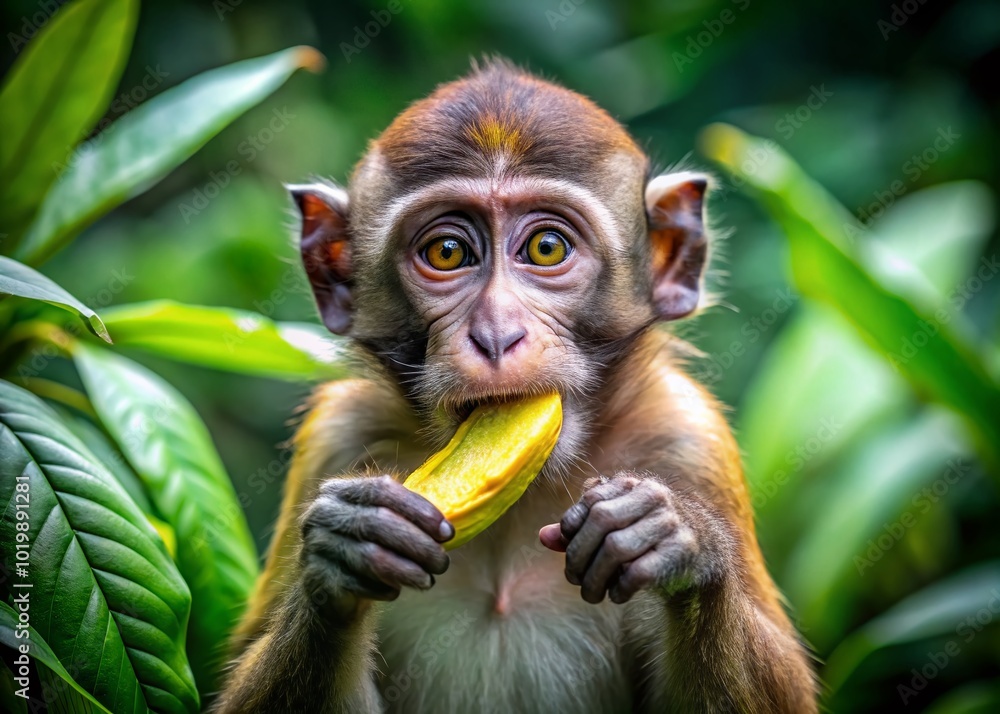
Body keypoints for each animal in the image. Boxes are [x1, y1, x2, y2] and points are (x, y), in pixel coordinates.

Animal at [215, 59, 817, 714]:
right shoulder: (337, 435)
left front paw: (678, 538)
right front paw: (343, 545)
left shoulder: (689, 436)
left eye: (546, 247)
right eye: (447, 252)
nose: (498, 334)